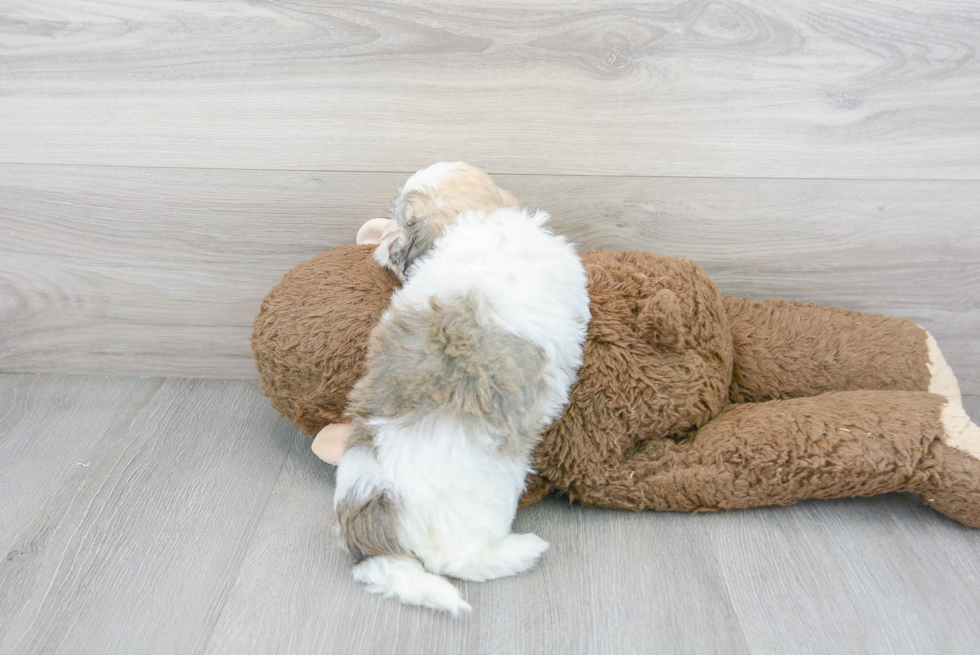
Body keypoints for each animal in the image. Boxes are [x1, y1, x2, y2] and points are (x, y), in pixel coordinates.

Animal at [334, 164, 588, 616]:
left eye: (398, 224)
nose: (384, 243)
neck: (476, 222)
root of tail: (380, 532)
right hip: (481, 507)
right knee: (461, 562)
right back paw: (520, 552)